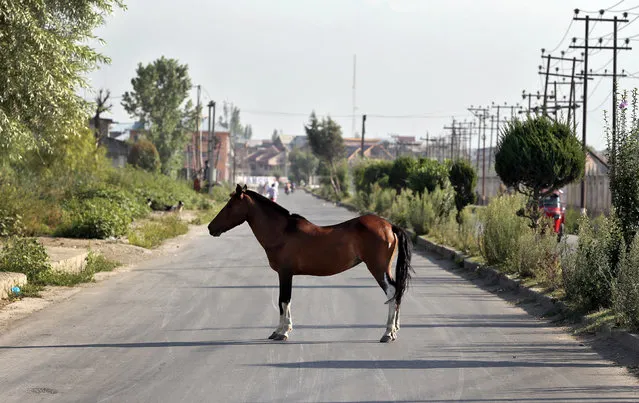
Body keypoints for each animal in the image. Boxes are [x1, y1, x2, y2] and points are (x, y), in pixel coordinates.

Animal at [208, 185, 412, 342]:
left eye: (230, 205)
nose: (211, 227)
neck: (282, 232)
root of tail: (389, 225)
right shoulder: (285, 274)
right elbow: (284, 300)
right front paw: (280, 330)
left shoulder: (285, 273)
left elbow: (284, 300)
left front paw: (282, 332)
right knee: (397, 292)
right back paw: (394, 330)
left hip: (377, 268)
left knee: (392, 292)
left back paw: (387, 333)